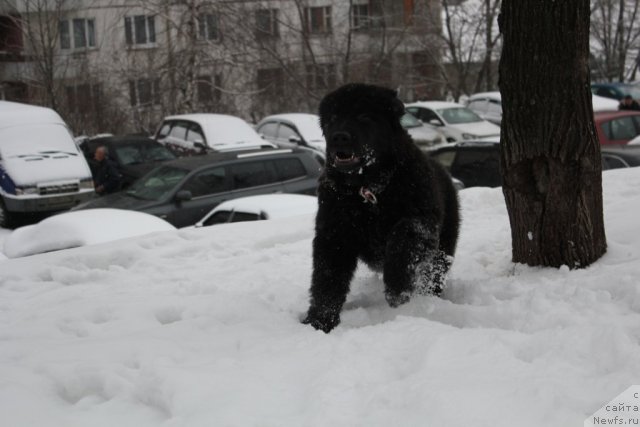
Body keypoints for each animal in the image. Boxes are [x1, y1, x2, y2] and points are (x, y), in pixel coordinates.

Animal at [304, 82, 460, 332]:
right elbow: (327, 278)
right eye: (333, 119)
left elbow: (403, 237)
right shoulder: (334, 233)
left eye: (364, 117)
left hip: (443, 246)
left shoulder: (421, 220)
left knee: (434, 274)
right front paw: (319, 321)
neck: (368, 189)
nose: (339, 137)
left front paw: (397, 289)